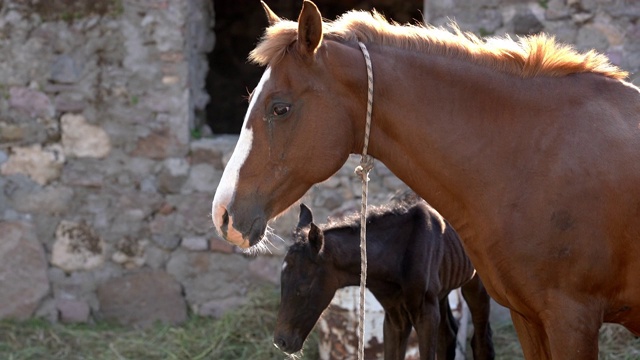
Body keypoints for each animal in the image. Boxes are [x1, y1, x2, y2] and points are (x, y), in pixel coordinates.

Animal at [276, 202, 496, 360]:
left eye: (304, 287)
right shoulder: (394, 316)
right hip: (441, 292)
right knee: (448, 336)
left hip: (475, 283)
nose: (281, 342)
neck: (397, 256)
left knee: (481, 341)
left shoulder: (425, 313)